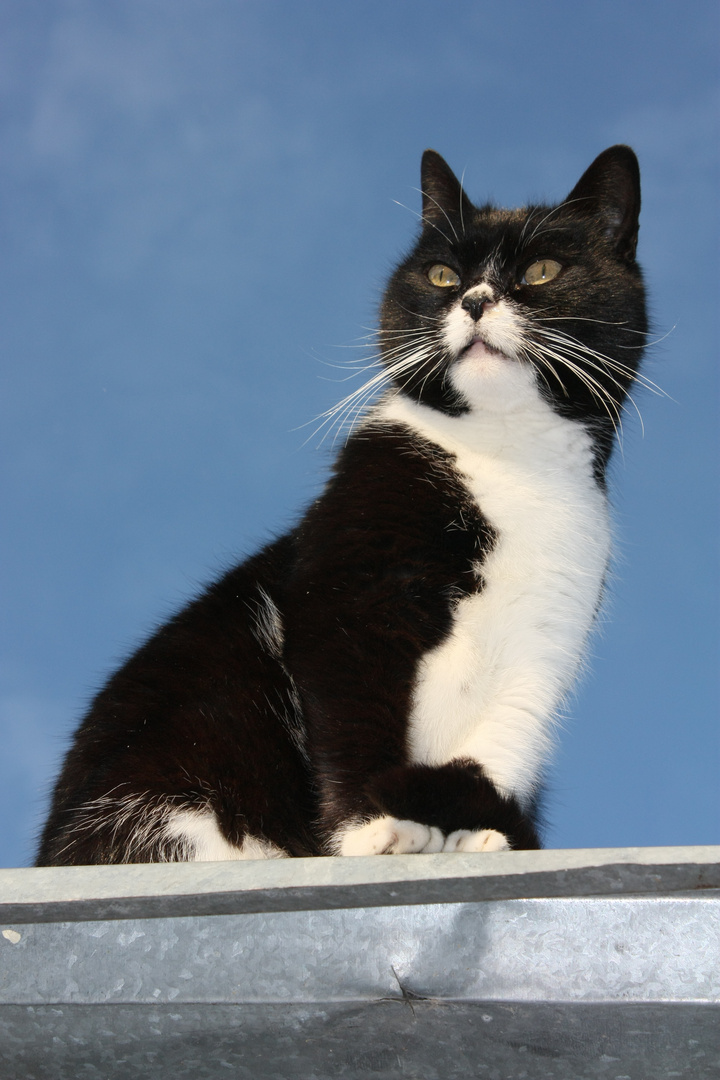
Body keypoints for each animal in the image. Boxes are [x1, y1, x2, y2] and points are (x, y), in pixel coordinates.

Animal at [36, 147, 651, 864]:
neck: (508, 458)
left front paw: (479, 831)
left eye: (541, 271)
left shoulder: (550, 627)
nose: (474, 299)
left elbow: (508, 732)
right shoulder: (347, 580)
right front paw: (371, 826)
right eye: (442, 274)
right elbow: (351, 709)